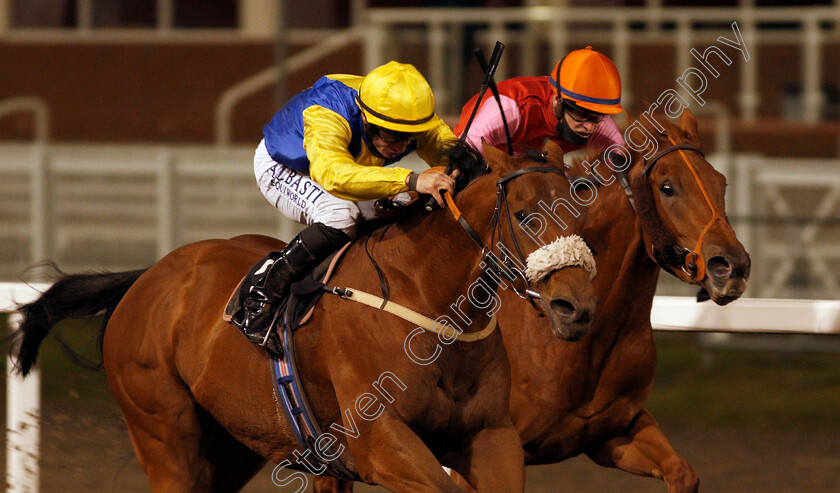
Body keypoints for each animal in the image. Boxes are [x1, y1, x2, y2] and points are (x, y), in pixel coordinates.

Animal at [9, 140, 592, 492]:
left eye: (577, 205)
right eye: (524, 215)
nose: (577, 309)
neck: (430, 304)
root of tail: (147, 278)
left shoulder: (491, 435)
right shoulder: (382, 442)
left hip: (234, 442)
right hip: (164, 433)